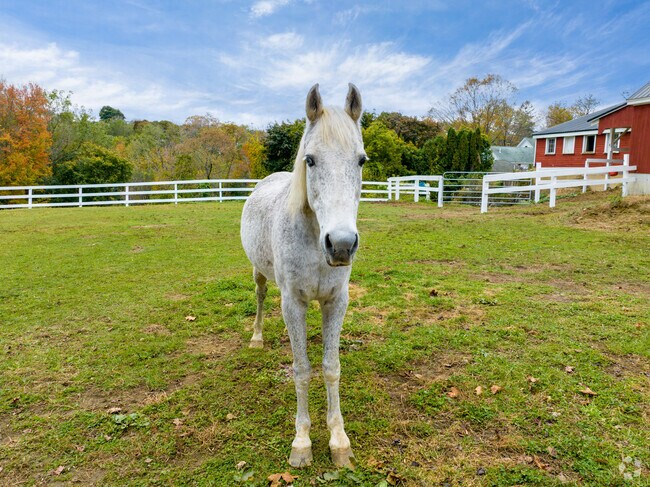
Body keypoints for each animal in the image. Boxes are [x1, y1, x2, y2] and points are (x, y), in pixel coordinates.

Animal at [240, 83, 365, 468]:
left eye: (361, 160)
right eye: (310, 160)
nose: (341, 245)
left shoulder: (336, 301)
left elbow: (329, 366)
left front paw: (339, 441)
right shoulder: (293, 302)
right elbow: (301, 369)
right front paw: (302, 441)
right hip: (260, 276)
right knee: (260, 297)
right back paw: (257, 337)